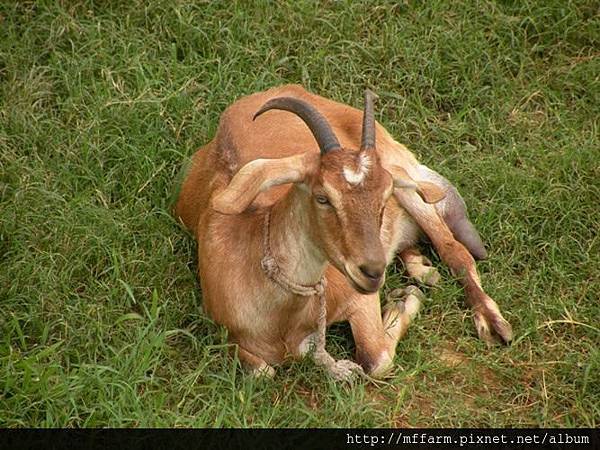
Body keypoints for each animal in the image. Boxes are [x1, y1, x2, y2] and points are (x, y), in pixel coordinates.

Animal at [175, 85, 510, 380]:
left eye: (383, 197)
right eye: (322, 197)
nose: (372, 272)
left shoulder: (358, 299)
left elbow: (377, 360)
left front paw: (404, 301)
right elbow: (263, 372)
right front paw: (403, 295)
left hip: (408, 181)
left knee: (455, 250)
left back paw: (492, 324)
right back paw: (422, 269)